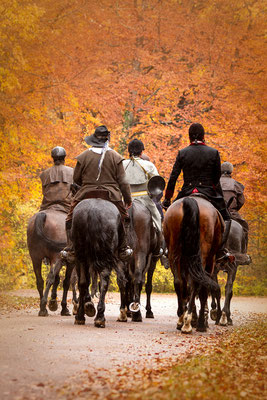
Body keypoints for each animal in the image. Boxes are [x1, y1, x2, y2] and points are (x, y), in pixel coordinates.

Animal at [70, 198, 126, 328]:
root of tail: (93, 211)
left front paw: (88, 306)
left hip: (81, 257)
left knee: (84, 282)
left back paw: (82, 316)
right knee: (104, 282)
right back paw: (100, 317)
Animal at [163, 195, 224, 332]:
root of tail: (191, 200)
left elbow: (187, 288)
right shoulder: (210, 262)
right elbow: (202, 289)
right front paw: (201, 321)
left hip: (174, 252)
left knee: (179, 282)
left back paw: (182, 318)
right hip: (203, 256)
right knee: (197, 284)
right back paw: (190, 322)